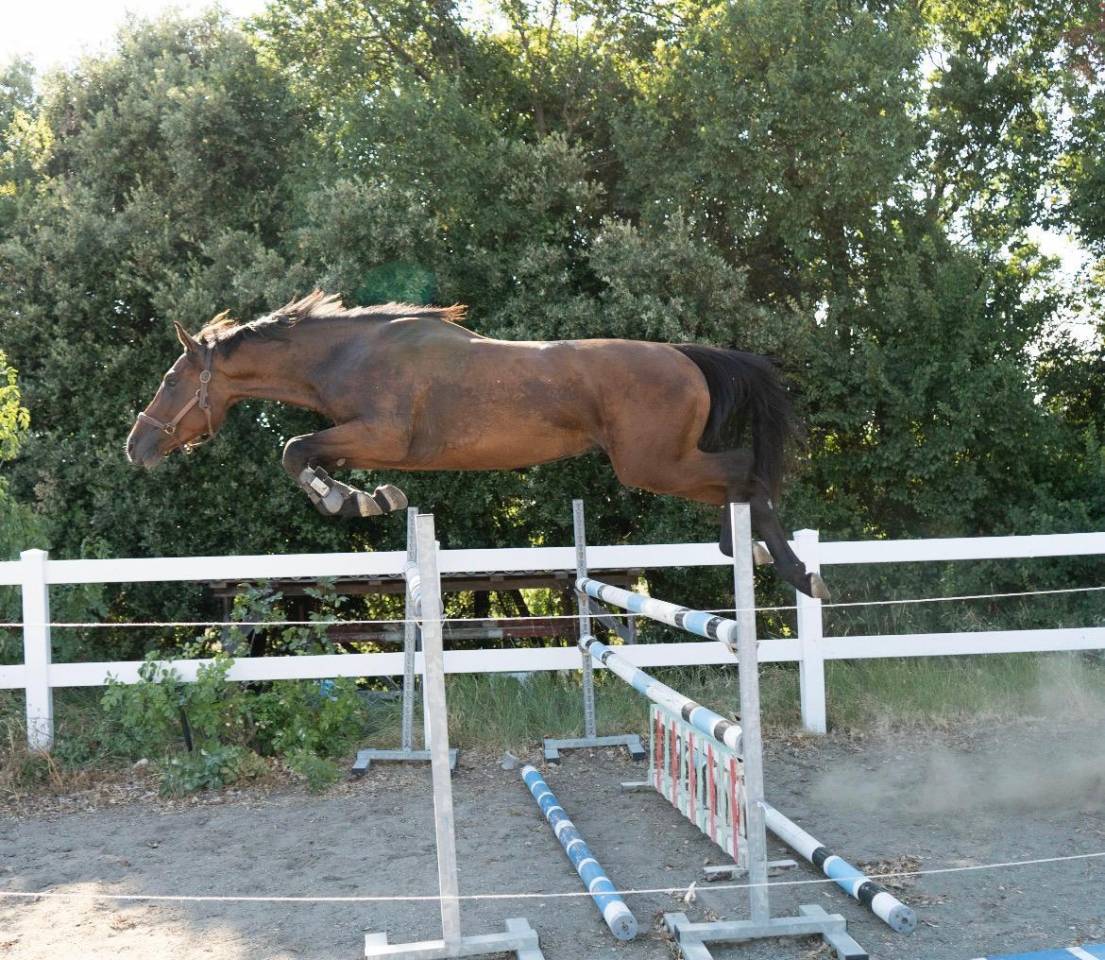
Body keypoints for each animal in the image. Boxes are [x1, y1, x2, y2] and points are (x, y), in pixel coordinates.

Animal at [126, 292, 829, 599]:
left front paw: (345, 501)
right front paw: (366, 497)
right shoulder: (371, 443)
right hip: (663, 463)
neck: (349, 352)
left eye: (170, 380)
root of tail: (684, 355)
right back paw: (742, 547)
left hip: (653, 464)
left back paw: (794, 570)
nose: (136, 446)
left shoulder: (381, 434)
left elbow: (295, 449)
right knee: (740, 476)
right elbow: (311, 453)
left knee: (745, 471)